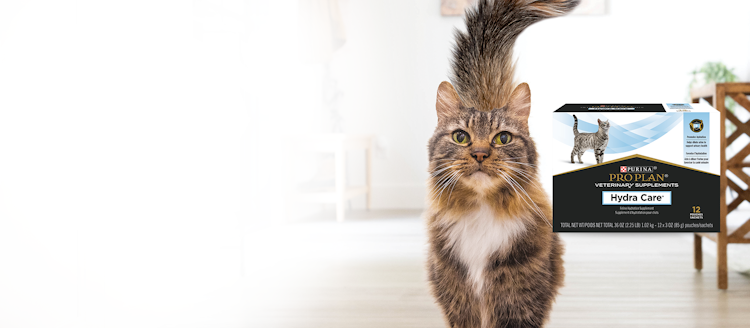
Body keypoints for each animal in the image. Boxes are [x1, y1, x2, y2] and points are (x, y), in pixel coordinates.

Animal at [426, 0, 580, 328]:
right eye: (461, 137)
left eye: (503, 138)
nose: (480, 154)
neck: (482, 212)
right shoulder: (457, 298)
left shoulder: (520, 298)